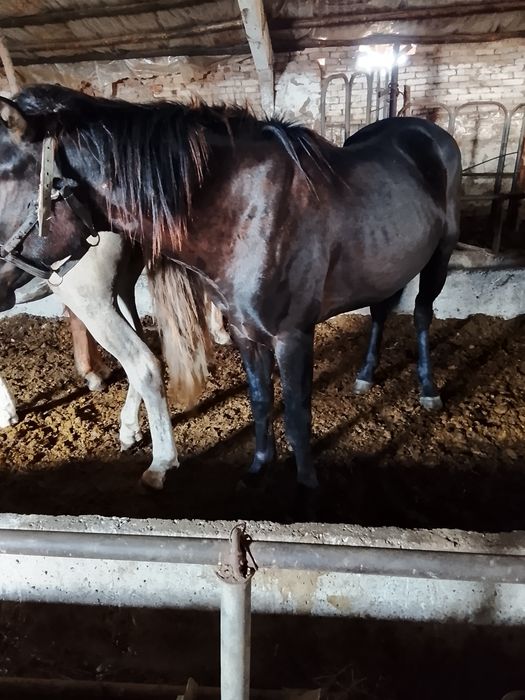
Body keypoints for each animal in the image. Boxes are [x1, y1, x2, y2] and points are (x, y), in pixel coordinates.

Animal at [0, 86, 462, 497]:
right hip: (389, 266)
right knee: (382, 312)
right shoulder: (244, 332)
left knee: (422, 314)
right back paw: (365, 375)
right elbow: (260, 401)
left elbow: (297, 416)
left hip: (440, 256)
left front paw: (306, 487)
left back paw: (428, 390)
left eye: (2, 180)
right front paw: (257, 470)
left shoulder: (293, 336)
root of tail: (428, 133)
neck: (247, 212)